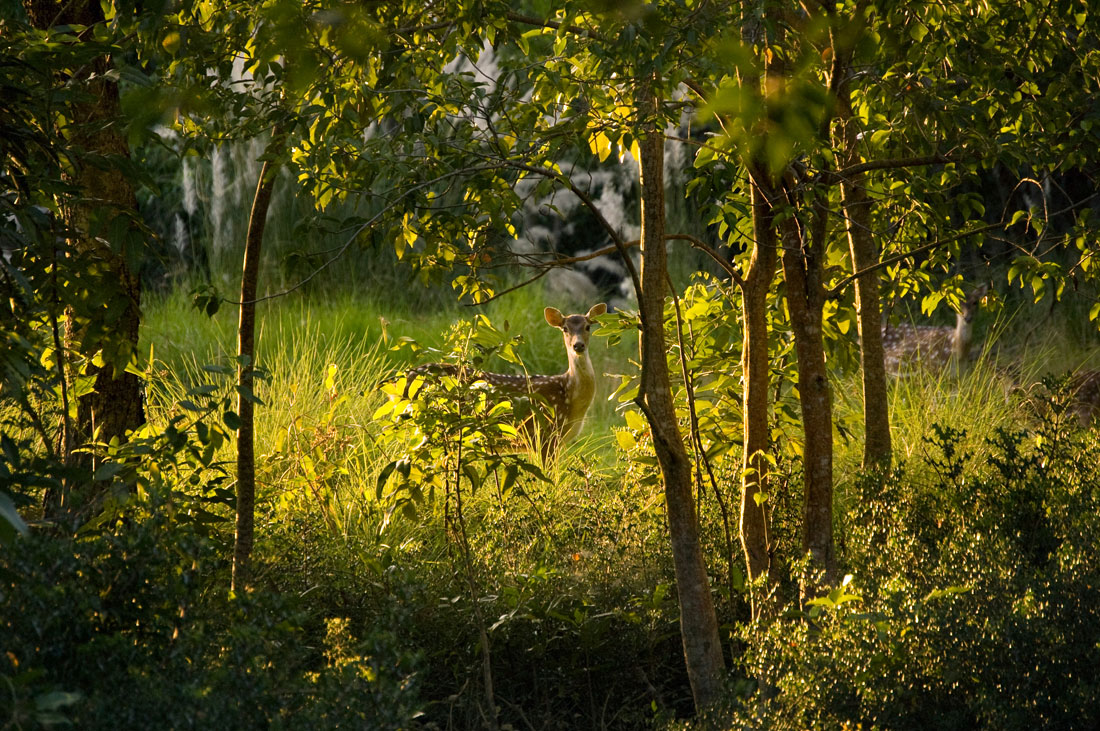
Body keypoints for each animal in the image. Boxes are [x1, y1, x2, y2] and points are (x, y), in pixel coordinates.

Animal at [400, 301, 607, 457]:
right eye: (565, 328)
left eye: (588, 326)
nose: (578, 345)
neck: (569, 394)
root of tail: (406, 376)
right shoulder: (545, 434)